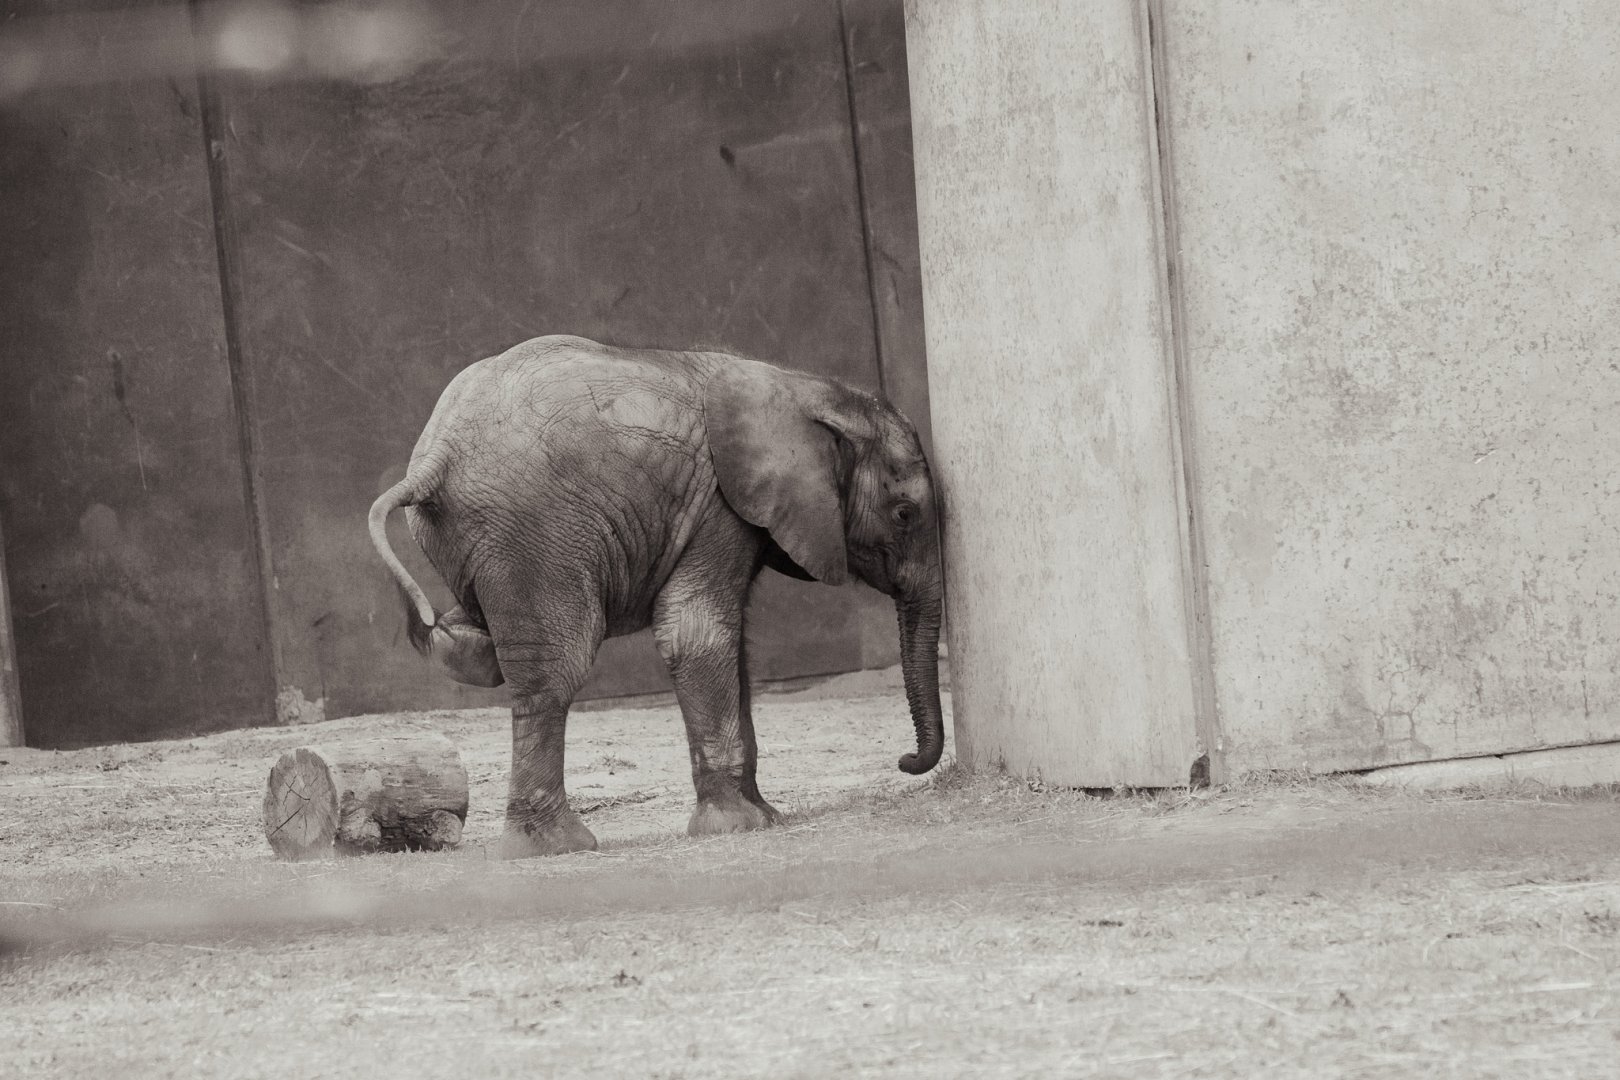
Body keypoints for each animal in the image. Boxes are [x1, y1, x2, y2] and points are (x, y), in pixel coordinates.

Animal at [368, 335, 945, 858]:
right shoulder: (718, 507)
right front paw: (736, 827)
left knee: (486, 653)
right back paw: (557, 847)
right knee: (557, 669)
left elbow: (732, 643)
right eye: (904, 513)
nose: (905, 762)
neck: (802, 388)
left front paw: (766, 816)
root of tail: (435, 458)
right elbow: (698, 634)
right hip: (532, 532)